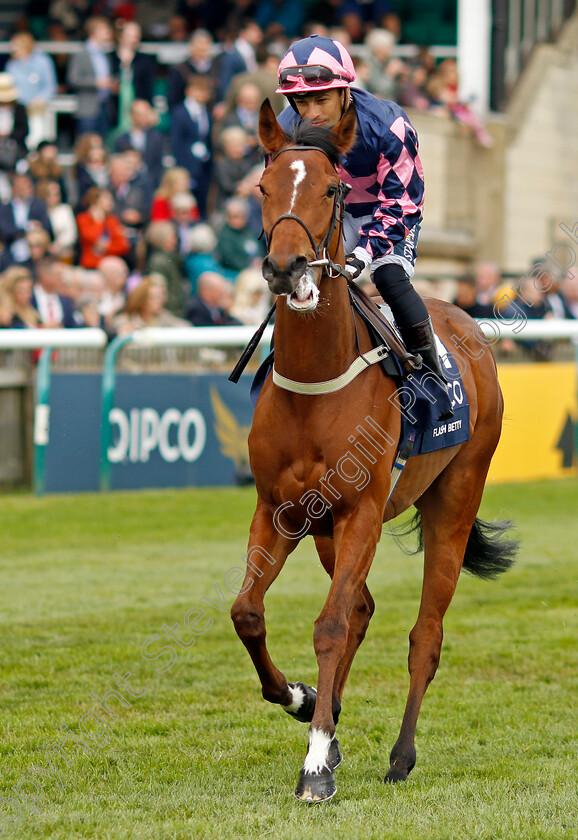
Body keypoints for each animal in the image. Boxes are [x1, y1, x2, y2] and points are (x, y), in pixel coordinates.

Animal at [230, 101, 512, 804]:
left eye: (333, 189)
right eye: (263, 187)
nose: (286, 267)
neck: (318, 383)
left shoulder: (361, 510)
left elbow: (329, 625)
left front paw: (313, 769)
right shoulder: (280, 509)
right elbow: (248, 612)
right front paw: (303, 702)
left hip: (455, 498)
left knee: (424, 634)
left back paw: (401, 755)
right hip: (328, 531)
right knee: (360, 607)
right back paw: (329, 725)